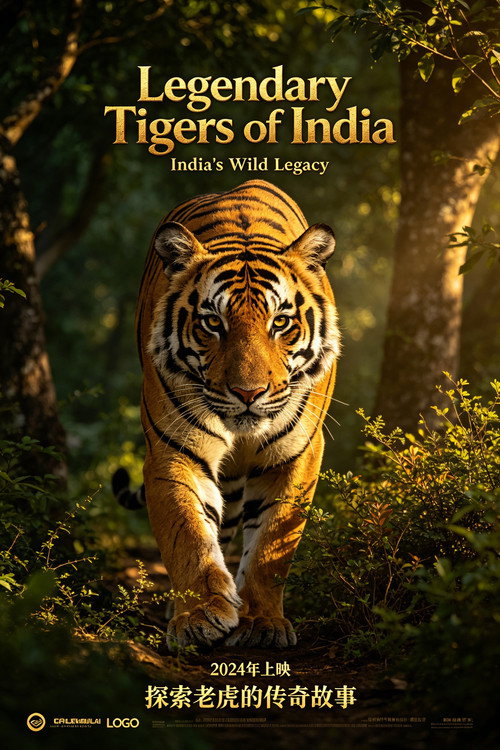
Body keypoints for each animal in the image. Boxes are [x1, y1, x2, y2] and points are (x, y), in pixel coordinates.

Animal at [113, 179, 340, 650]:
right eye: (213, 323)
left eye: (280, 323)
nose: (248, 393)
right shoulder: (172, 450)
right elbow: (187, 532)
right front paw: (199, 615)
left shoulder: (297, 455)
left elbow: (272, 545)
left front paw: (263, 622)